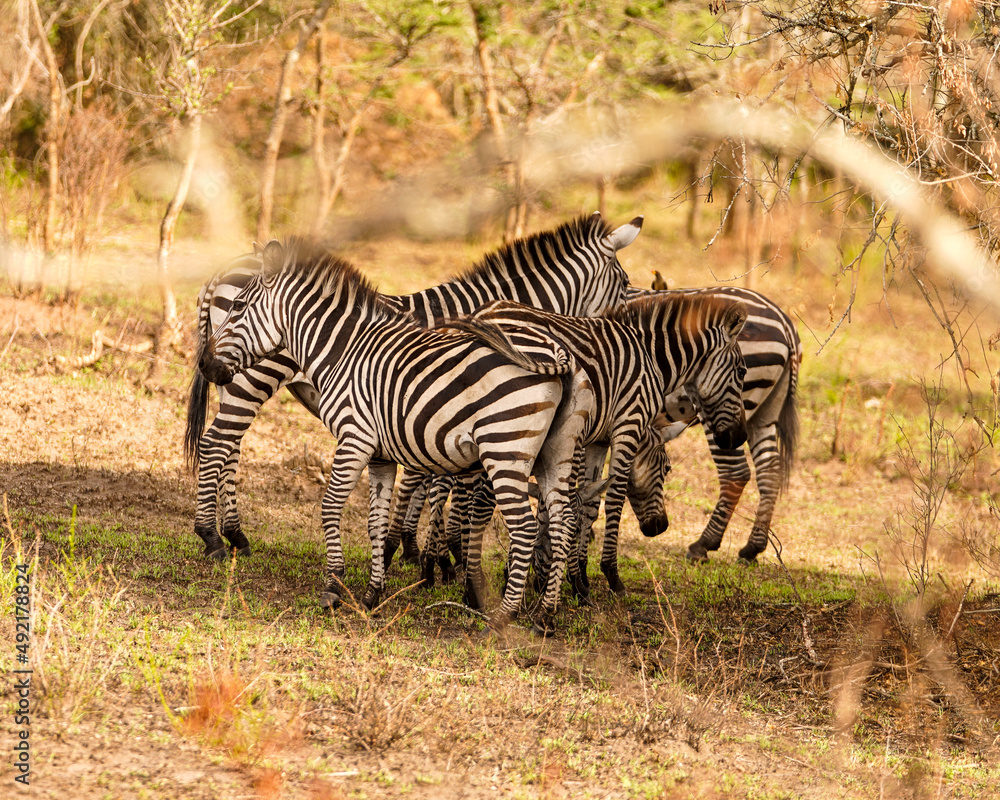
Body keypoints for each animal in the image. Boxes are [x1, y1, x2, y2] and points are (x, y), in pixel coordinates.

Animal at [184, 213, 643, 559]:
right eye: (623, 285)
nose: (623, 339)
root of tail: (221, 271)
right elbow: (441, 483)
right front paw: (431, 553)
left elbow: (425, 477)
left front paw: (404, 546)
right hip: (252, 376)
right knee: (216, 444)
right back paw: (212, 536)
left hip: (234, 379)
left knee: (229, 448)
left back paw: (235, 534)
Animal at [198, 237, 589, 631]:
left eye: (239, 306)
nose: (205, 364)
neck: (344, 351)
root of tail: (561, 359)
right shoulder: (380, 454)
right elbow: (376, 521)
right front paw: (373, 594)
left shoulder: (355, 437)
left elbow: (330, 505)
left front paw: (333, 586)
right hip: (554, 453)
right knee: (562, 522)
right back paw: (545, 615)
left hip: (505, 450)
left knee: (524, 527)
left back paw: (504, 616)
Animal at [622, 284, 802, 564]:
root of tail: (784, 322)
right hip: (765, 412)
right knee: (770, 469)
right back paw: (753, 547)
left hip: (725, 414)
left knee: (735, 473)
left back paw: (704, 544)